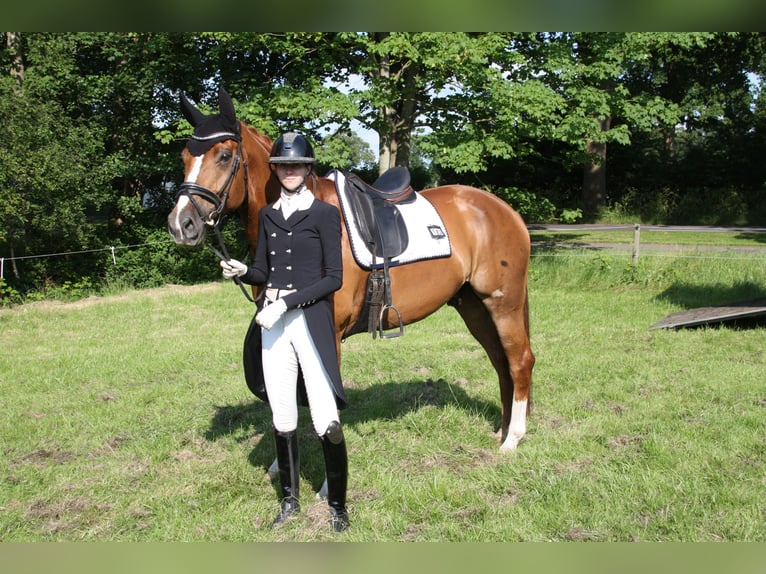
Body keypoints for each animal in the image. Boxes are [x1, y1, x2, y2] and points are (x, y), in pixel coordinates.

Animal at [167, 88, 535, 451]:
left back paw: (512, 439)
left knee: (520, 360)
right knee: (501, 361)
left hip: (504, 303)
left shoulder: (328, 334)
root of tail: (503, 209)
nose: (180, 224)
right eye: (184, 158)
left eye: (224, 156)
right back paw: (502, 430)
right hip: (472, 304)